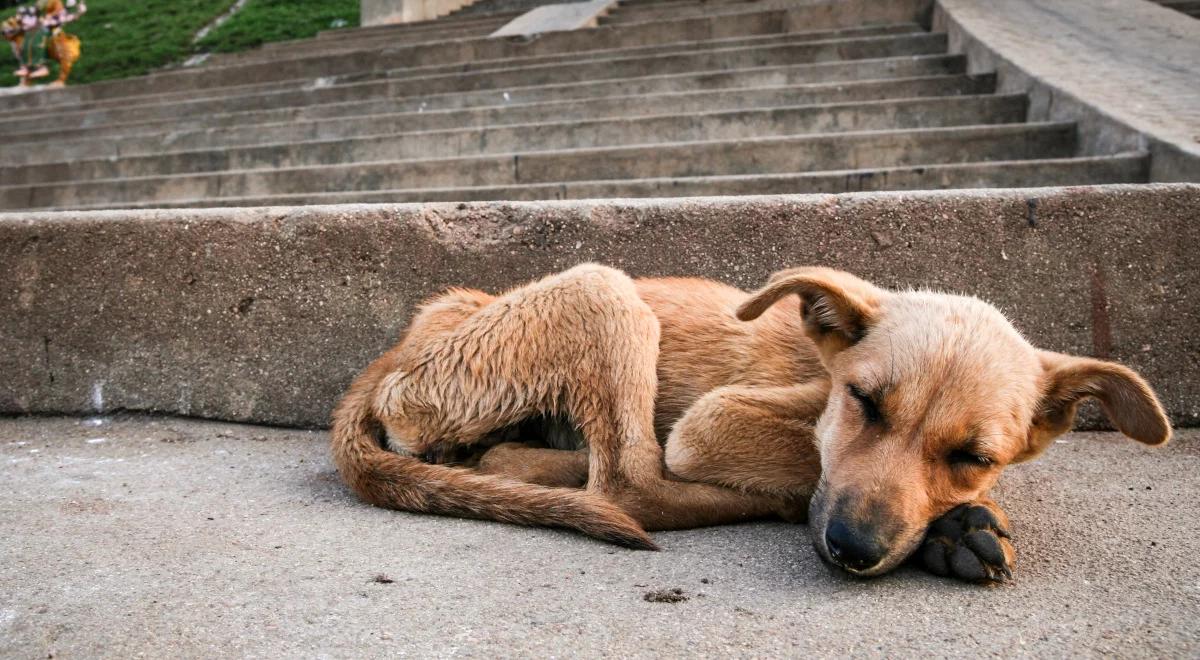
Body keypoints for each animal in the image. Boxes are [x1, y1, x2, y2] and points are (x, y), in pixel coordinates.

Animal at [331, 264, 1171, 585]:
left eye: (973, 454)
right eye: (865, 402)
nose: (854, 549)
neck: (821, 369)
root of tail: (399, 351)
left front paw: (957, 519)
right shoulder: (711, 422)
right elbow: (806, 464)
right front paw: (953, 527)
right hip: (603, 289)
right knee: (631, 485)